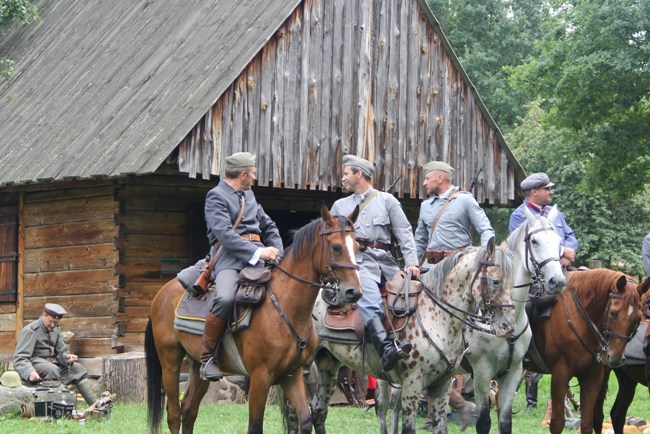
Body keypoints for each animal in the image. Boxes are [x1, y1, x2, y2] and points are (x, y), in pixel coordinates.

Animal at [144, 204, 362, 434]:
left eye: (357, 246)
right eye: (336, 247)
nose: (353, 292)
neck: (283, 305)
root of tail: (162, 293)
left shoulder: (292, 375)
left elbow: (304, 420)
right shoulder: (260, 378)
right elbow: (255, 426)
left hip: (198, 366)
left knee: (189, 410)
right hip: (170, 361)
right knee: (174, 414)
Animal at [292, 239, 512, 434]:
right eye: (495, 281)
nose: (507, 326)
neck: (436, 315)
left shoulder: (443, 384)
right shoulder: (412, 383)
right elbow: (406, 427)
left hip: (329, 365)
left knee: (319, 412)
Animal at [458, 204, 564, 434]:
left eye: (559, 241)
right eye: (534, 241)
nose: (557, 281)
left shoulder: (514, 372)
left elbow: (505, 422)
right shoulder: (481, 373)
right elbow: (483, 422)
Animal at [528, 270, 644, 432]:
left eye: (638, 318)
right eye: (613, 313)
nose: (615, 359)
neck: (580, 316)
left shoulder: (593, 377)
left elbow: (588, 422)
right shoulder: (560, 374)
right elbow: (557, 423)